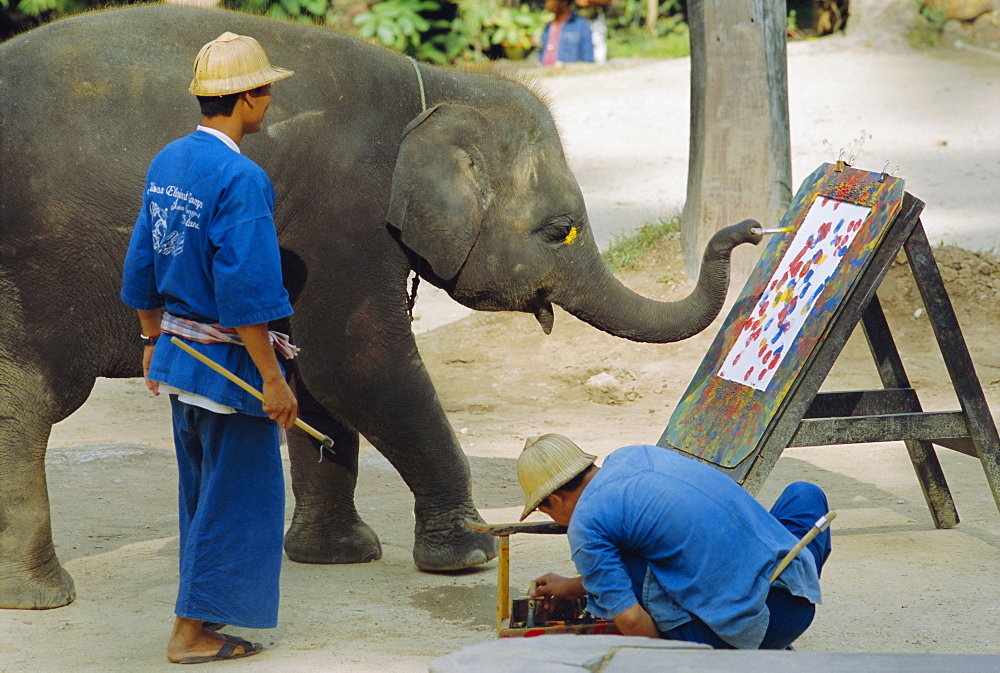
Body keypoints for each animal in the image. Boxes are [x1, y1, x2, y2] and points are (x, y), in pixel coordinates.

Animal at [0, 3, 756, 608]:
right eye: (559, 229)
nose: (747, 230)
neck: (437, 89)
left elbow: (310, 377)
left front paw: (336, 556)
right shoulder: (342, 217)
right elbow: (358, 365)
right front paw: (469, 554)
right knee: (28, 401)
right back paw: (42, 595)